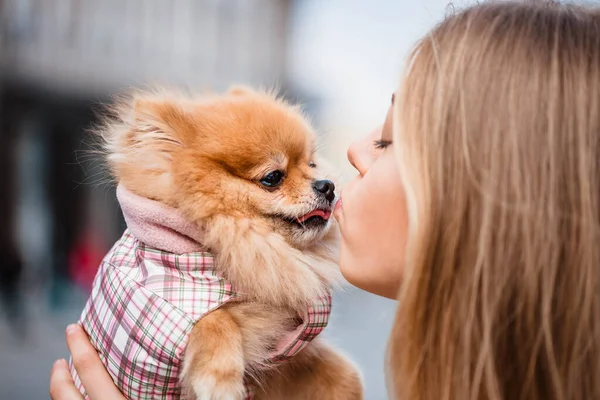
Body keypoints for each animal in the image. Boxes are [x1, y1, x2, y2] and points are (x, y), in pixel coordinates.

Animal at [70, 86, 360, 398]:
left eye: (312, 164)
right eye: (273, 177)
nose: (327, 185)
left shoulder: (285, 355)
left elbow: (344, 373)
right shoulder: (158, 300)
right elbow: (214, 317)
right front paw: (220, 379)